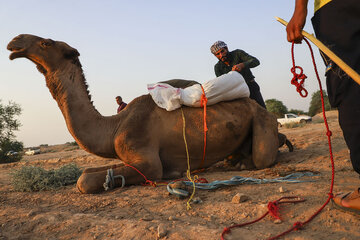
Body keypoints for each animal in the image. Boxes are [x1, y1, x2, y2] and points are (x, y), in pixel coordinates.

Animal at [6, 34, 282, 194]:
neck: (114, 126)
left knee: (263, 157)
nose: (15, 41)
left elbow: (84, 181)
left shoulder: (148, 161)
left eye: (46, 43)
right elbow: (86, 174)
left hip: (263, 120)